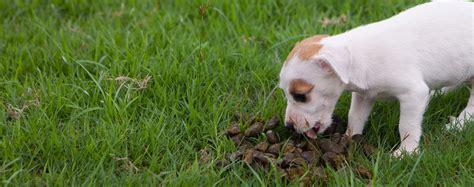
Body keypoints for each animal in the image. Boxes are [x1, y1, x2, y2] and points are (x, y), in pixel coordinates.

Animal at [280, 0, 472, 156]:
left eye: (300, 96)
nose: (288, 126)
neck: (358, 56)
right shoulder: (364, 95)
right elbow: (355, 117)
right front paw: (348, 138)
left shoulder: (413, 94)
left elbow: (407, 126)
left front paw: (406, 152)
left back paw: (459, 123)